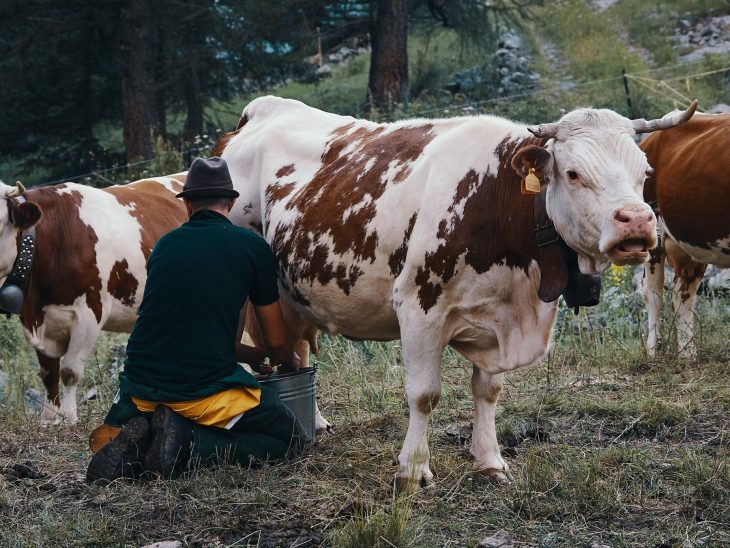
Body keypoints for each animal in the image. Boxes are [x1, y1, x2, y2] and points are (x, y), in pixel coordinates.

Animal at [0, 176, 188, 424]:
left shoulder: (89, 312)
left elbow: (70, 371)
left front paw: (69, 417)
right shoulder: (38, 318)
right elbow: (48, 372)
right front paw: (49, 418)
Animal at [213, 95, 692, 488]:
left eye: (645, 172)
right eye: (573, 174)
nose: (637, 221)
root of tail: (260, 111)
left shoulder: (499, 315)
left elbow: (488, 390)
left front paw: (489, 459)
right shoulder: (418, 309)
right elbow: (424, 394)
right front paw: (413, 469)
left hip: (291, 295)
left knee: (296, 353)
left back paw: (312, 425)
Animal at [640, 111, 724, 360]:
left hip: (693, 244)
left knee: (682, 294)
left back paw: (688, 355)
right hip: (654, 237)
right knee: (654, 293)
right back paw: (652, 351)